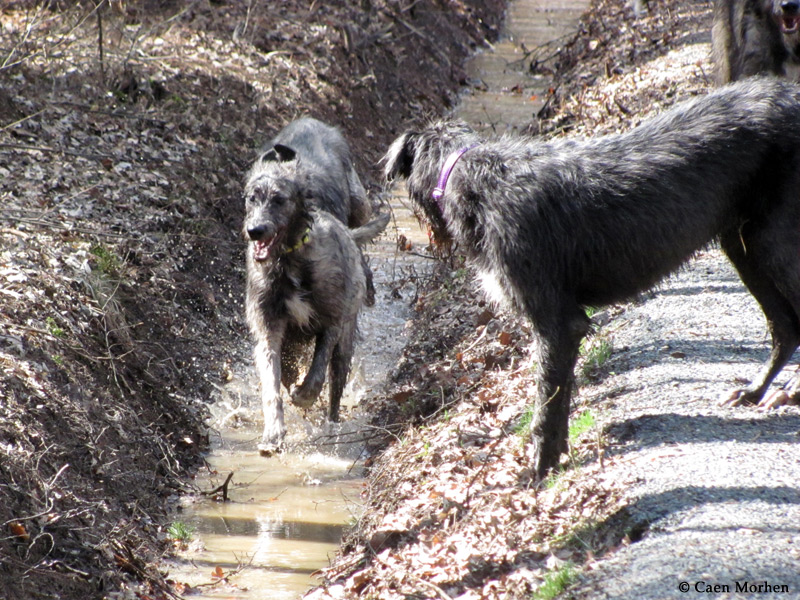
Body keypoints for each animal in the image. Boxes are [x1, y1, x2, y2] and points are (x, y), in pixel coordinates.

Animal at [247, 117, 390, 454]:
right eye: (251, 197)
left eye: (279, 199)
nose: (254, 230)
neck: (289, 259)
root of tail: (310, 121)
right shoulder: (269, 328)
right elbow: (272, 382)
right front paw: (273, 432)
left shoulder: (332, 322)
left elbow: (316, 371)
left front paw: (304, 395)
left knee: (335, 384)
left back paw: (331, 427)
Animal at [384, 77, 800, 480]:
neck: (474, 176)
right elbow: (562, 393)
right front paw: (557, 457)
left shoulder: (557, 322)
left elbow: (547, 401)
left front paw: (539, 470)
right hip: (744, 246)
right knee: (785, 327)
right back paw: (755, 390)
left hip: (775, 245)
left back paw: (789, 390)